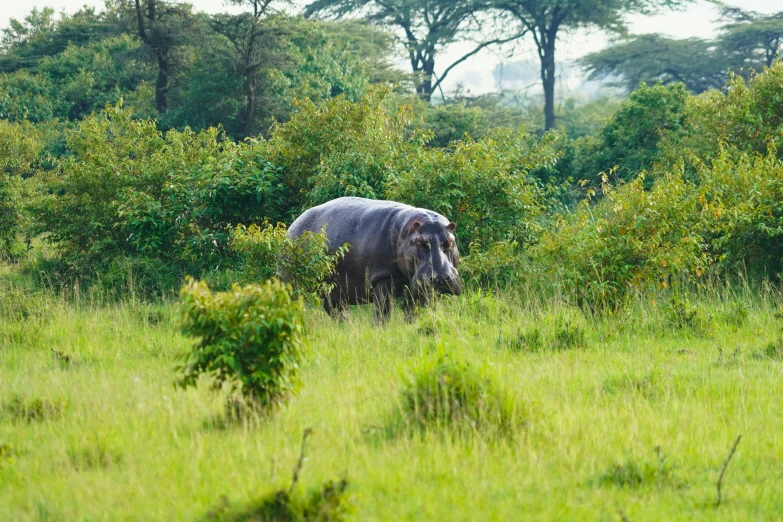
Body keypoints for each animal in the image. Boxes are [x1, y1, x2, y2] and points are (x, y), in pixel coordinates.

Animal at [286, 196, 460, 320]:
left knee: (335, 309)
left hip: (334, 289)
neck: (405, 233)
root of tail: (292, 225)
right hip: (292, 282)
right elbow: (383, 311)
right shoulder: (383, 278)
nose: (441, 278)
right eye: (419, 242)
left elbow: (413, 311)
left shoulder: (415, 286)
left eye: (450, 241)